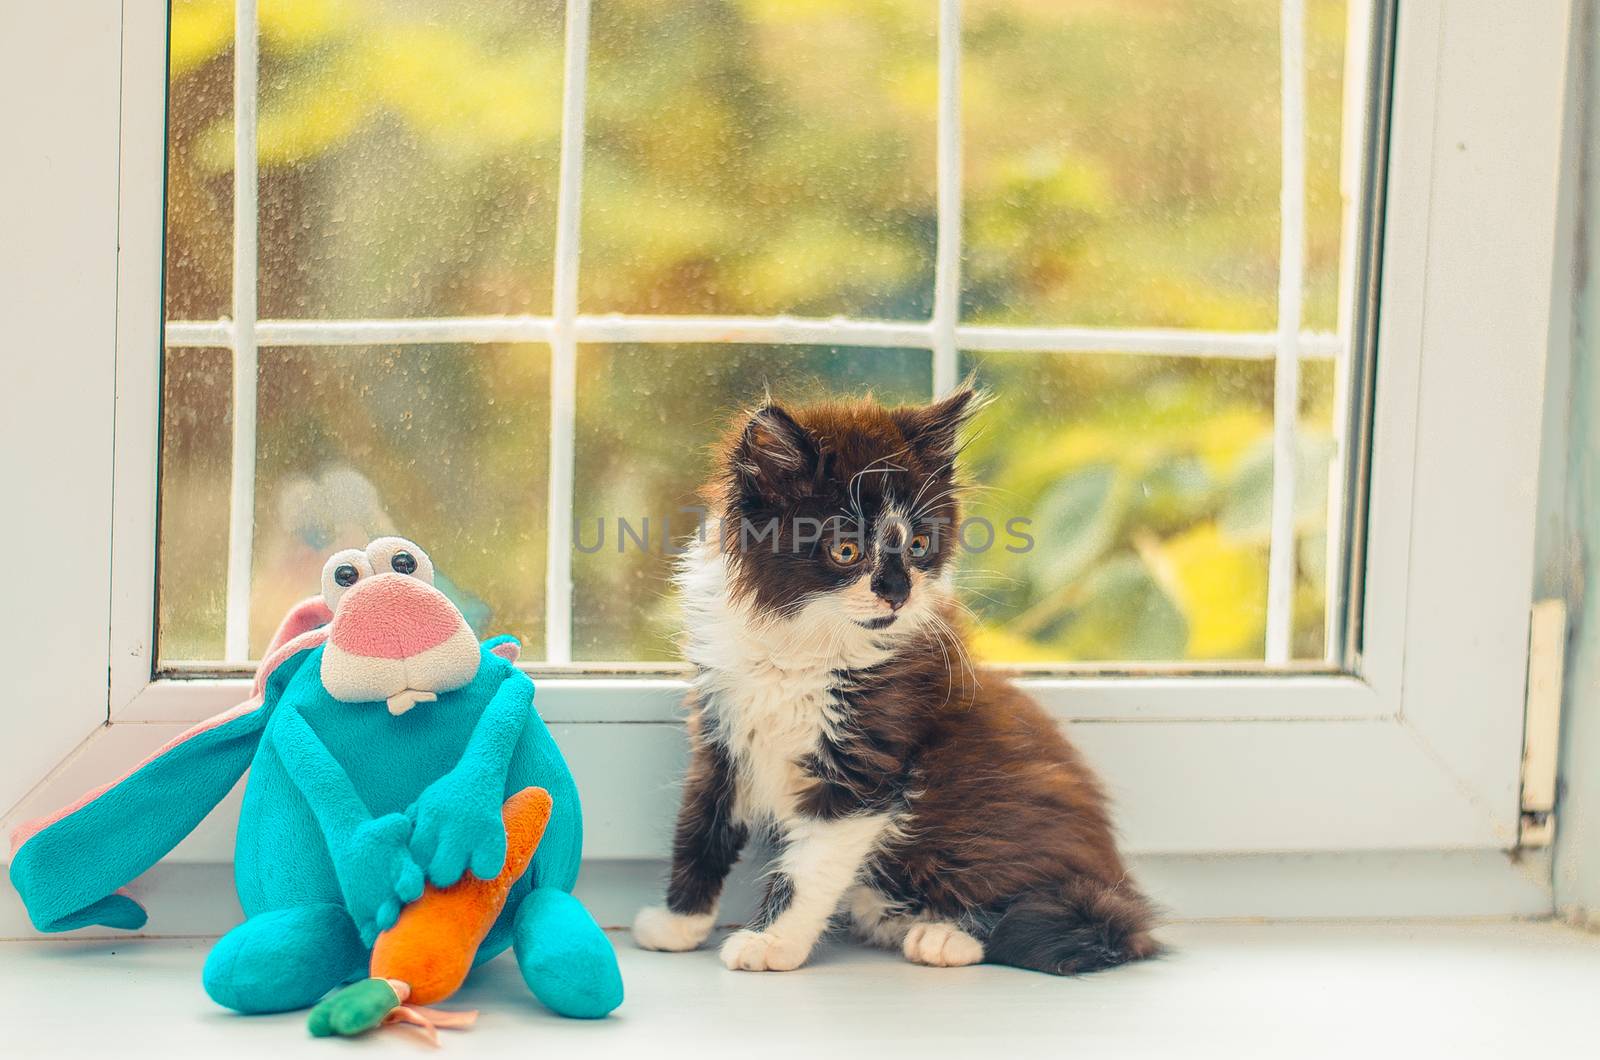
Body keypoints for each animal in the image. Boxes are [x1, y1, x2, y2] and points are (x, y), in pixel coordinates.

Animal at [630, 385, 1158, 973]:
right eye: (845, 550)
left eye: (920, 545)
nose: (898, 592)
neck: (802, 644)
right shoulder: (721, 731)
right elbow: (699, 828)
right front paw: (679, 922)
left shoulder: (864, 761)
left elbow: (807, 866)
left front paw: (770, 943)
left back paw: (946, 935)